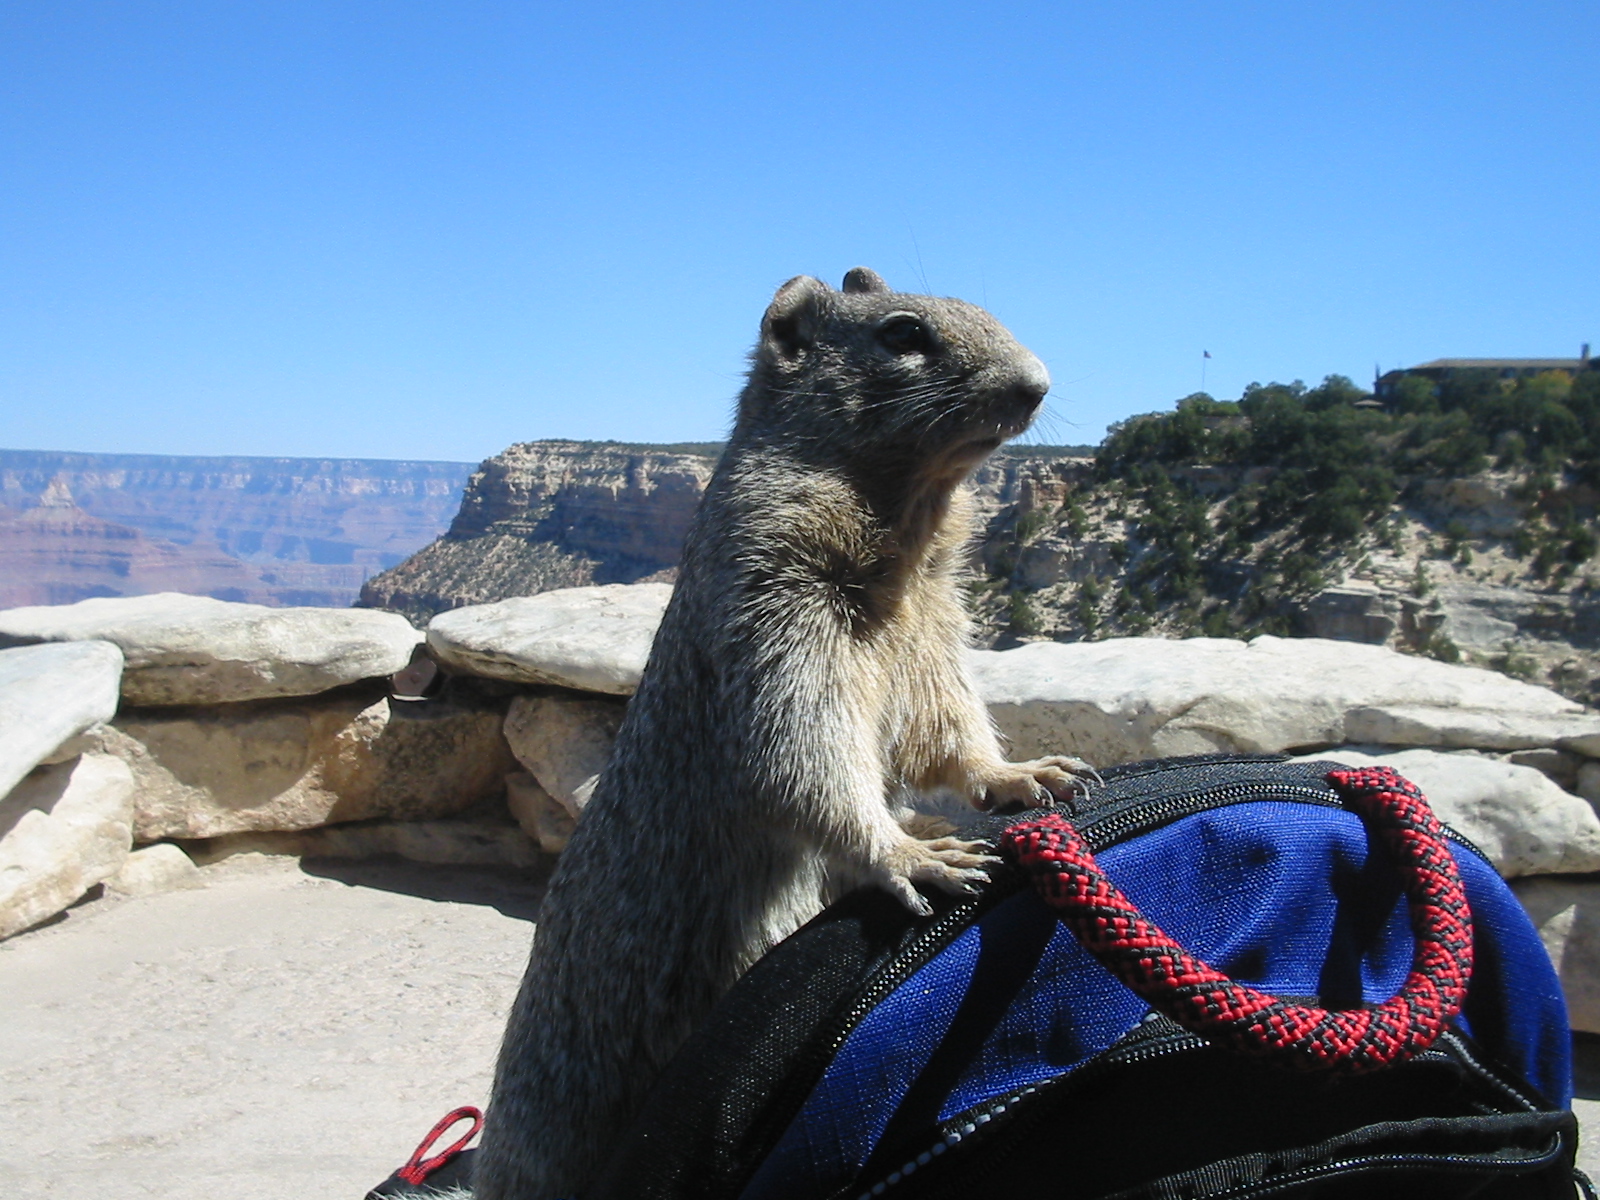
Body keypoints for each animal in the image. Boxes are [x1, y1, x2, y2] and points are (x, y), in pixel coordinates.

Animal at [471, 268, 1091, 1199]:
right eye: (903, 332)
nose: (1039, 382)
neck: (909, 523)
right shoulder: (778, 618)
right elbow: (805, 751)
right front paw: (912, 854)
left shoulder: (934, 636)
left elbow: (950, 728)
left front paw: (1025, 775)